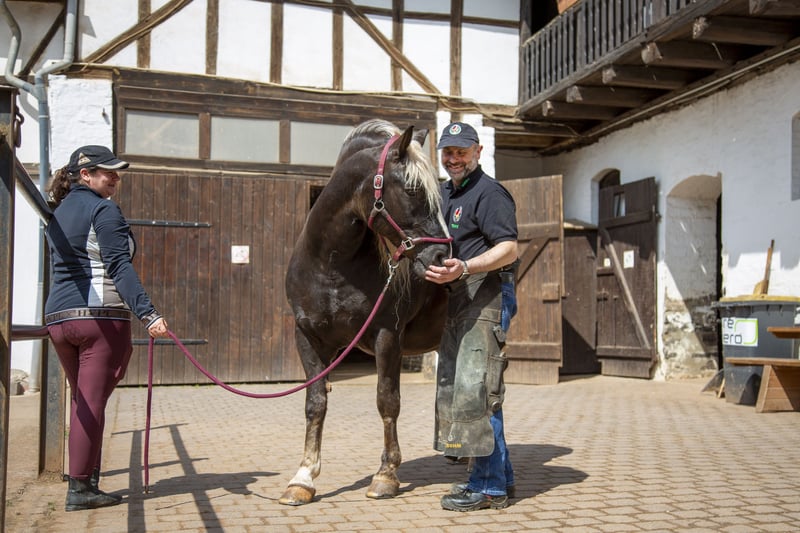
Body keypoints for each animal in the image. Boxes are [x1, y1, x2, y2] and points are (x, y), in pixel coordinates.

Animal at [279, 119, 452, 506]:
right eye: (413, 190)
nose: (442, 258)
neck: (331, 264)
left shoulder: (387, 336)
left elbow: (387, 401)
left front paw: (386, 475)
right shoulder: (308, 338)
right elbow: (315, 403)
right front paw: (302, 479)